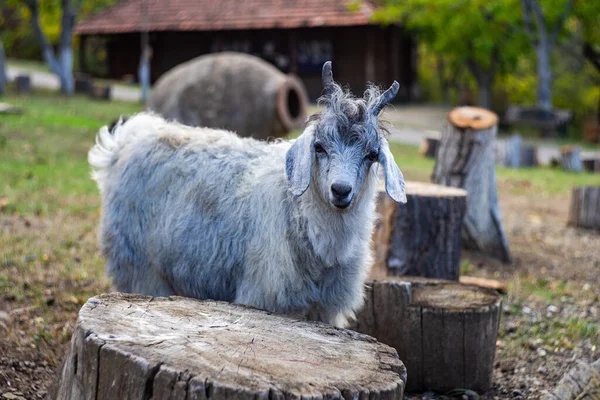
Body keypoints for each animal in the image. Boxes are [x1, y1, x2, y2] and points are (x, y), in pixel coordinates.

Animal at [88, 61, 408, 326]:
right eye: (318, 146)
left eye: (371, 155)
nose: (341, 190)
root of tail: (125, 141)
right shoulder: (263, 296)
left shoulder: (325, 311)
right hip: (139, 268)